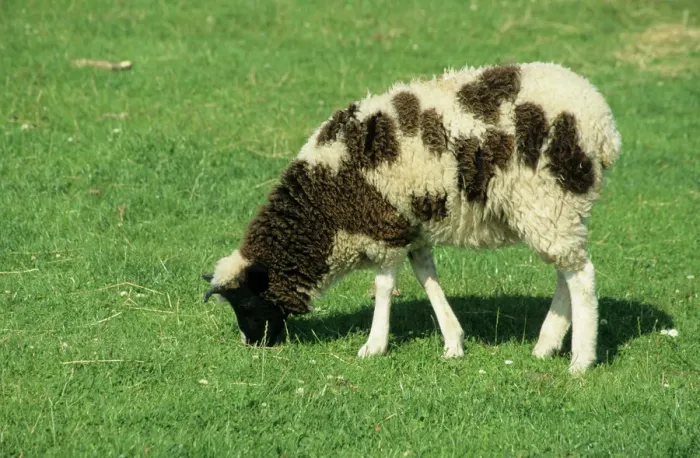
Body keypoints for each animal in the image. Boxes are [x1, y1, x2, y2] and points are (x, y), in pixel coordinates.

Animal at [202, 62, 621, 374]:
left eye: (247, 304)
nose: (253, 344)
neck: (325, 204)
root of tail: (602, 123)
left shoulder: (383, 227)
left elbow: (384, 285)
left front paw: (374, 345)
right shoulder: (411, 227)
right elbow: (427, 277)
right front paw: (453, 341)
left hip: (549, 200)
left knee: (581, 277)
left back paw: (581, 360)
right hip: (557, 210)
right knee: (566, 273)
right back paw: (546, 345)